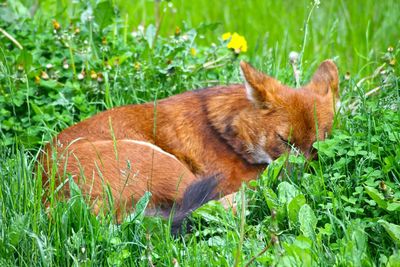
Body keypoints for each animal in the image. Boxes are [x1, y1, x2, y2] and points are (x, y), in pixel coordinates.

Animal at [40, 60, 340, 226]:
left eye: (317, 147)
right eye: (284, 140)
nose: (302, 176)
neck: (227, 132)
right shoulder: (229, 178)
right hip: (167, 166)